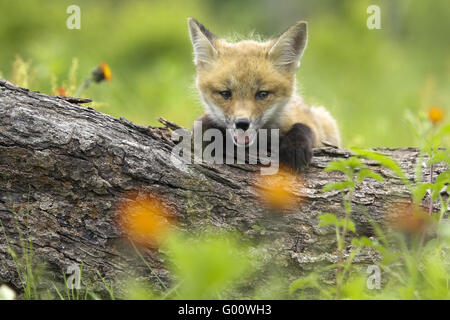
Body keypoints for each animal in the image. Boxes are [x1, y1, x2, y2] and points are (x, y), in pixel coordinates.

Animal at [188, 18, 340, 170]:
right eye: (225, 93)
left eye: (262, 94)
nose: (242, 123)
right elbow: (201, 122)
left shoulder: (315, 125)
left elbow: (305, 127)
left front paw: (296, 146)